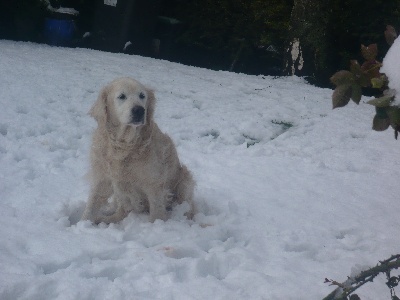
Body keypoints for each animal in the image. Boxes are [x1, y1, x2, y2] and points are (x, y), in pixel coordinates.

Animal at [81, 78, 195, 224]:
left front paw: (157, 226)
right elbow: (92, 203)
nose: (139, 110)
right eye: (122, 96)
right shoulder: (102, 176)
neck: (125, 144)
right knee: (121, 210)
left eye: (142, 95)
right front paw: (83, 223)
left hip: (185, 179)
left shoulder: (154, 183)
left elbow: (156, 212)